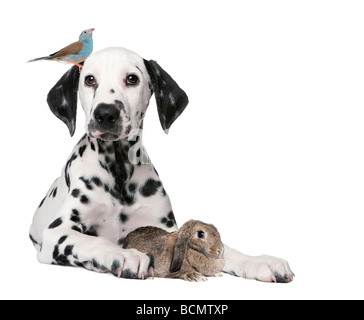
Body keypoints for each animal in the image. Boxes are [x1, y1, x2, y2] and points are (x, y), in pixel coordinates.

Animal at [29, 46, 294, 282]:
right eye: (90, 80)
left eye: (132, 79)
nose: (105, 114)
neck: (119, 169)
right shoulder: (57, 232)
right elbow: (94, 240)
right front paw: (124, 255)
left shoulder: (167, 230)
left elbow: (227, 249)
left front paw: (260, 262)